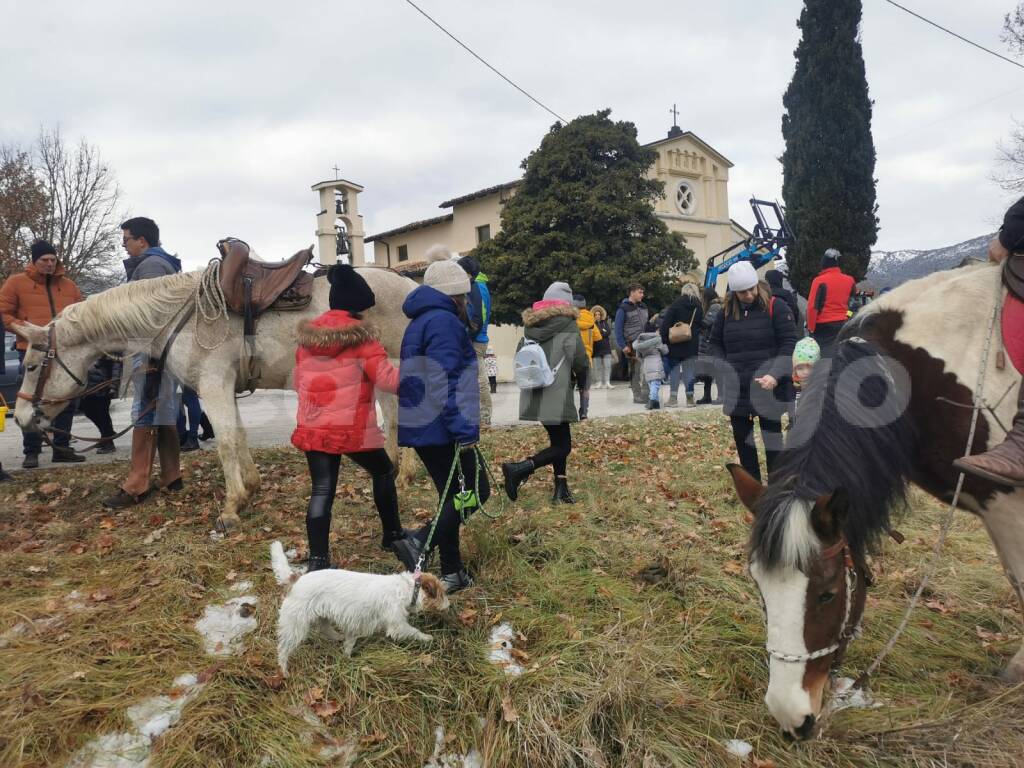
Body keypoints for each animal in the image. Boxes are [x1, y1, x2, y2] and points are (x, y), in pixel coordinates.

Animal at [12, 268, 415, 532]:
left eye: (31, 366)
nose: (20, 418)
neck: (176, 318)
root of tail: (411, 285)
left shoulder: (213, 385)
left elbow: (225, 441)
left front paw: (231, 508)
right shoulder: (225, 387)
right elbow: (238, 435)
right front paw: (250, 488)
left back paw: (404, 473)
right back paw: (395, 470)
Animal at [272, 540, 448, 671]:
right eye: (442, 594)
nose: (449, 604)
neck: (407, 589)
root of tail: (296, 579)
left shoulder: (354, 625)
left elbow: (349, 643)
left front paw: (346, 657)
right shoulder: (397, 625)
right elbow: (414, 631)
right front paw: (427, 637)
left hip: (321, 615)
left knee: (324, 628)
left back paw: (337, 637)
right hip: (295, 625)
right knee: (283, 649)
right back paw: (284, 670)